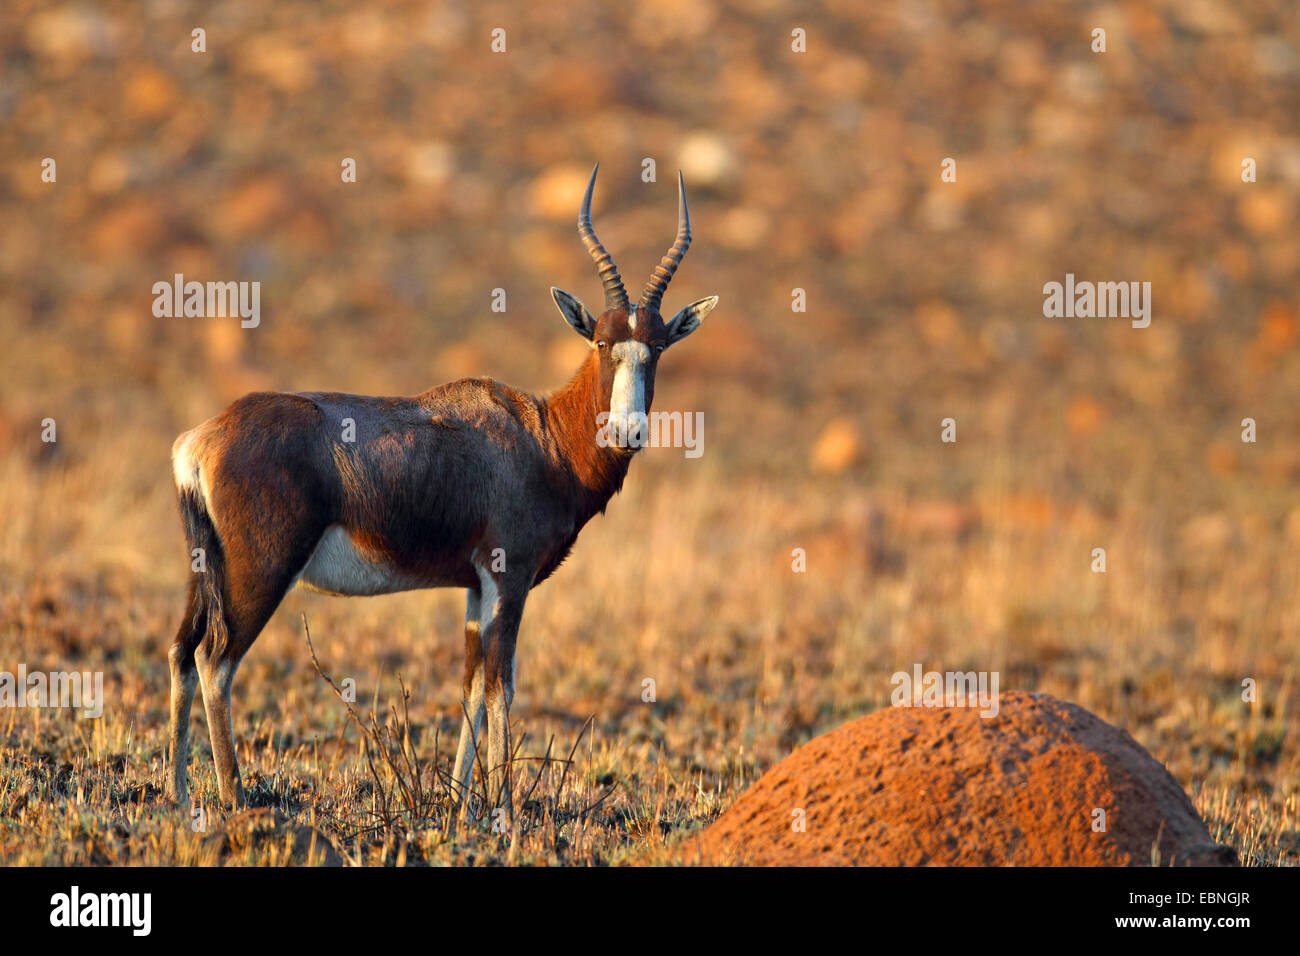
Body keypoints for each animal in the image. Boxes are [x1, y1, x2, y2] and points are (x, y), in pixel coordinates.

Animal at [166, 166, 717, 822]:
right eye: (603, 344)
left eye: (656, 346)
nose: (629, 431)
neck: (540, 434)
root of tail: (201, 440)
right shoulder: (508, 577)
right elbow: (503, 683)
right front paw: (503, 809)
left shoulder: (477, 586)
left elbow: (472, 683)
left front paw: (460, 803)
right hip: (260, 573)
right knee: (215, 659)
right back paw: (235, 796)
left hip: (206, 573)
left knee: (181, 652)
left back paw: (178, 794)